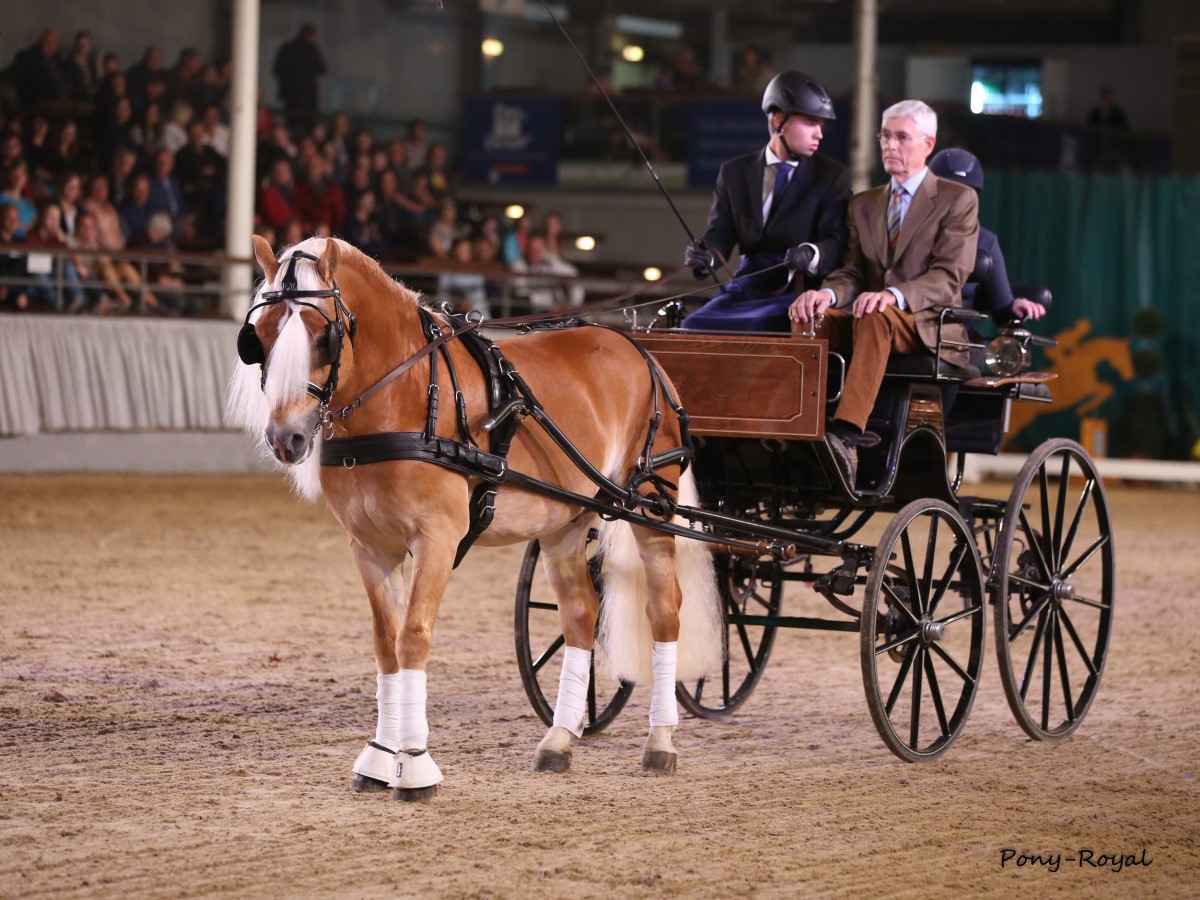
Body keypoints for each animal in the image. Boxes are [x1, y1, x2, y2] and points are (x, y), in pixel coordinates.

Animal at [226, 237, 720, 801]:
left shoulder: (437, 540)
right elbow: (385, 644)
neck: (406, 395)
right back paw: (559, 741)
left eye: (320, 336)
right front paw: (378, 758)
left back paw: (660, 742)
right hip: (566, 523)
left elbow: (413, 637)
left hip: (649, 510)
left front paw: (415, 765)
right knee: (580, 614)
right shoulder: (370, 548)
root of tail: (640, 352)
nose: (285, 439)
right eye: (259, 336)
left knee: (664, 611)